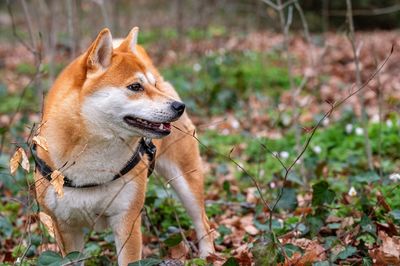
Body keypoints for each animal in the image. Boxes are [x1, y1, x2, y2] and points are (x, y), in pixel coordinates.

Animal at [34, 26, 216, 264]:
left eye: (152, 86)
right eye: (135, 86)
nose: (179, 106)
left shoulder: (127, 220)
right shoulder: (65, 229)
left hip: (186, 182)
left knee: (203, 222)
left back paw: (208, 256)